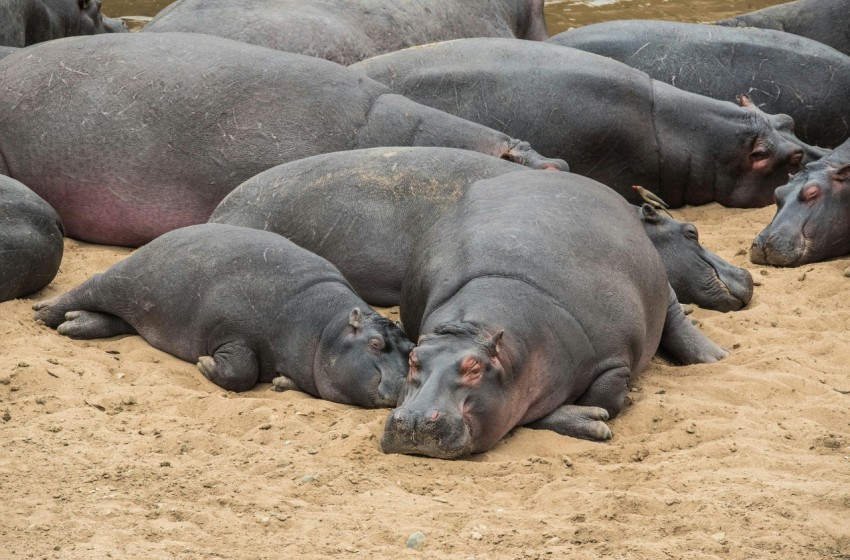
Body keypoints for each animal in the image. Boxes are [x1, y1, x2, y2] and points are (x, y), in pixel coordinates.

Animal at [32, 224, 414, 406]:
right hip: (123, 279)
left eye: (412, 350)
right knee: (88, 287)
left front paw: (281, 383)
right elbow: (242, 371)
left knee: (115, 320)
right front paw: (205, 364)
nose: (405, 386)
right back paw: (43, 313)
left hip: (135, 307)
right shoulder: (233, 332)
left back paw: (74, 324)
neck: (325, 327)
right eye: (375, 344)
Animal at [381, 170, 728, 458]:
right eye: (413, 359)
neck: (475, 328)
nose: (415, 419)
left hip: (659, 281)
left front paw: (606, 413)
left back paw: (715, 357)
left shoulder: (614, 361)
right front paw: (593, 422)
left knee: (675, 317)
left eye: (474, 368)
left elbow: (606, 398)